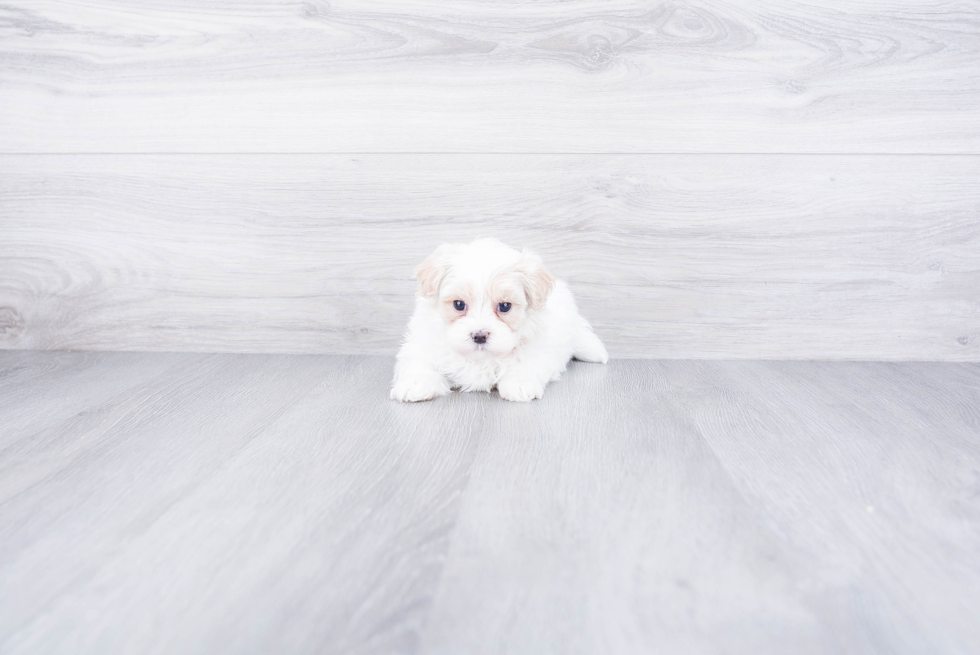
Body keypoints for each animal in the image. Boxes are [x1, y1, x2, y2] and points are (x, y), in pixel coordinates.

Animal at [388, 238, 604, 402]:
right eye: (459, 304)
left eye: (505, 306)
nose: (479, 336)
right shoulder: (422, 342)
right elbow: (420, 361)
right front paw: (415, 384)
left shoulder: (541, 345)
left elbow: (527, 361)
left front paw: (520, 384)